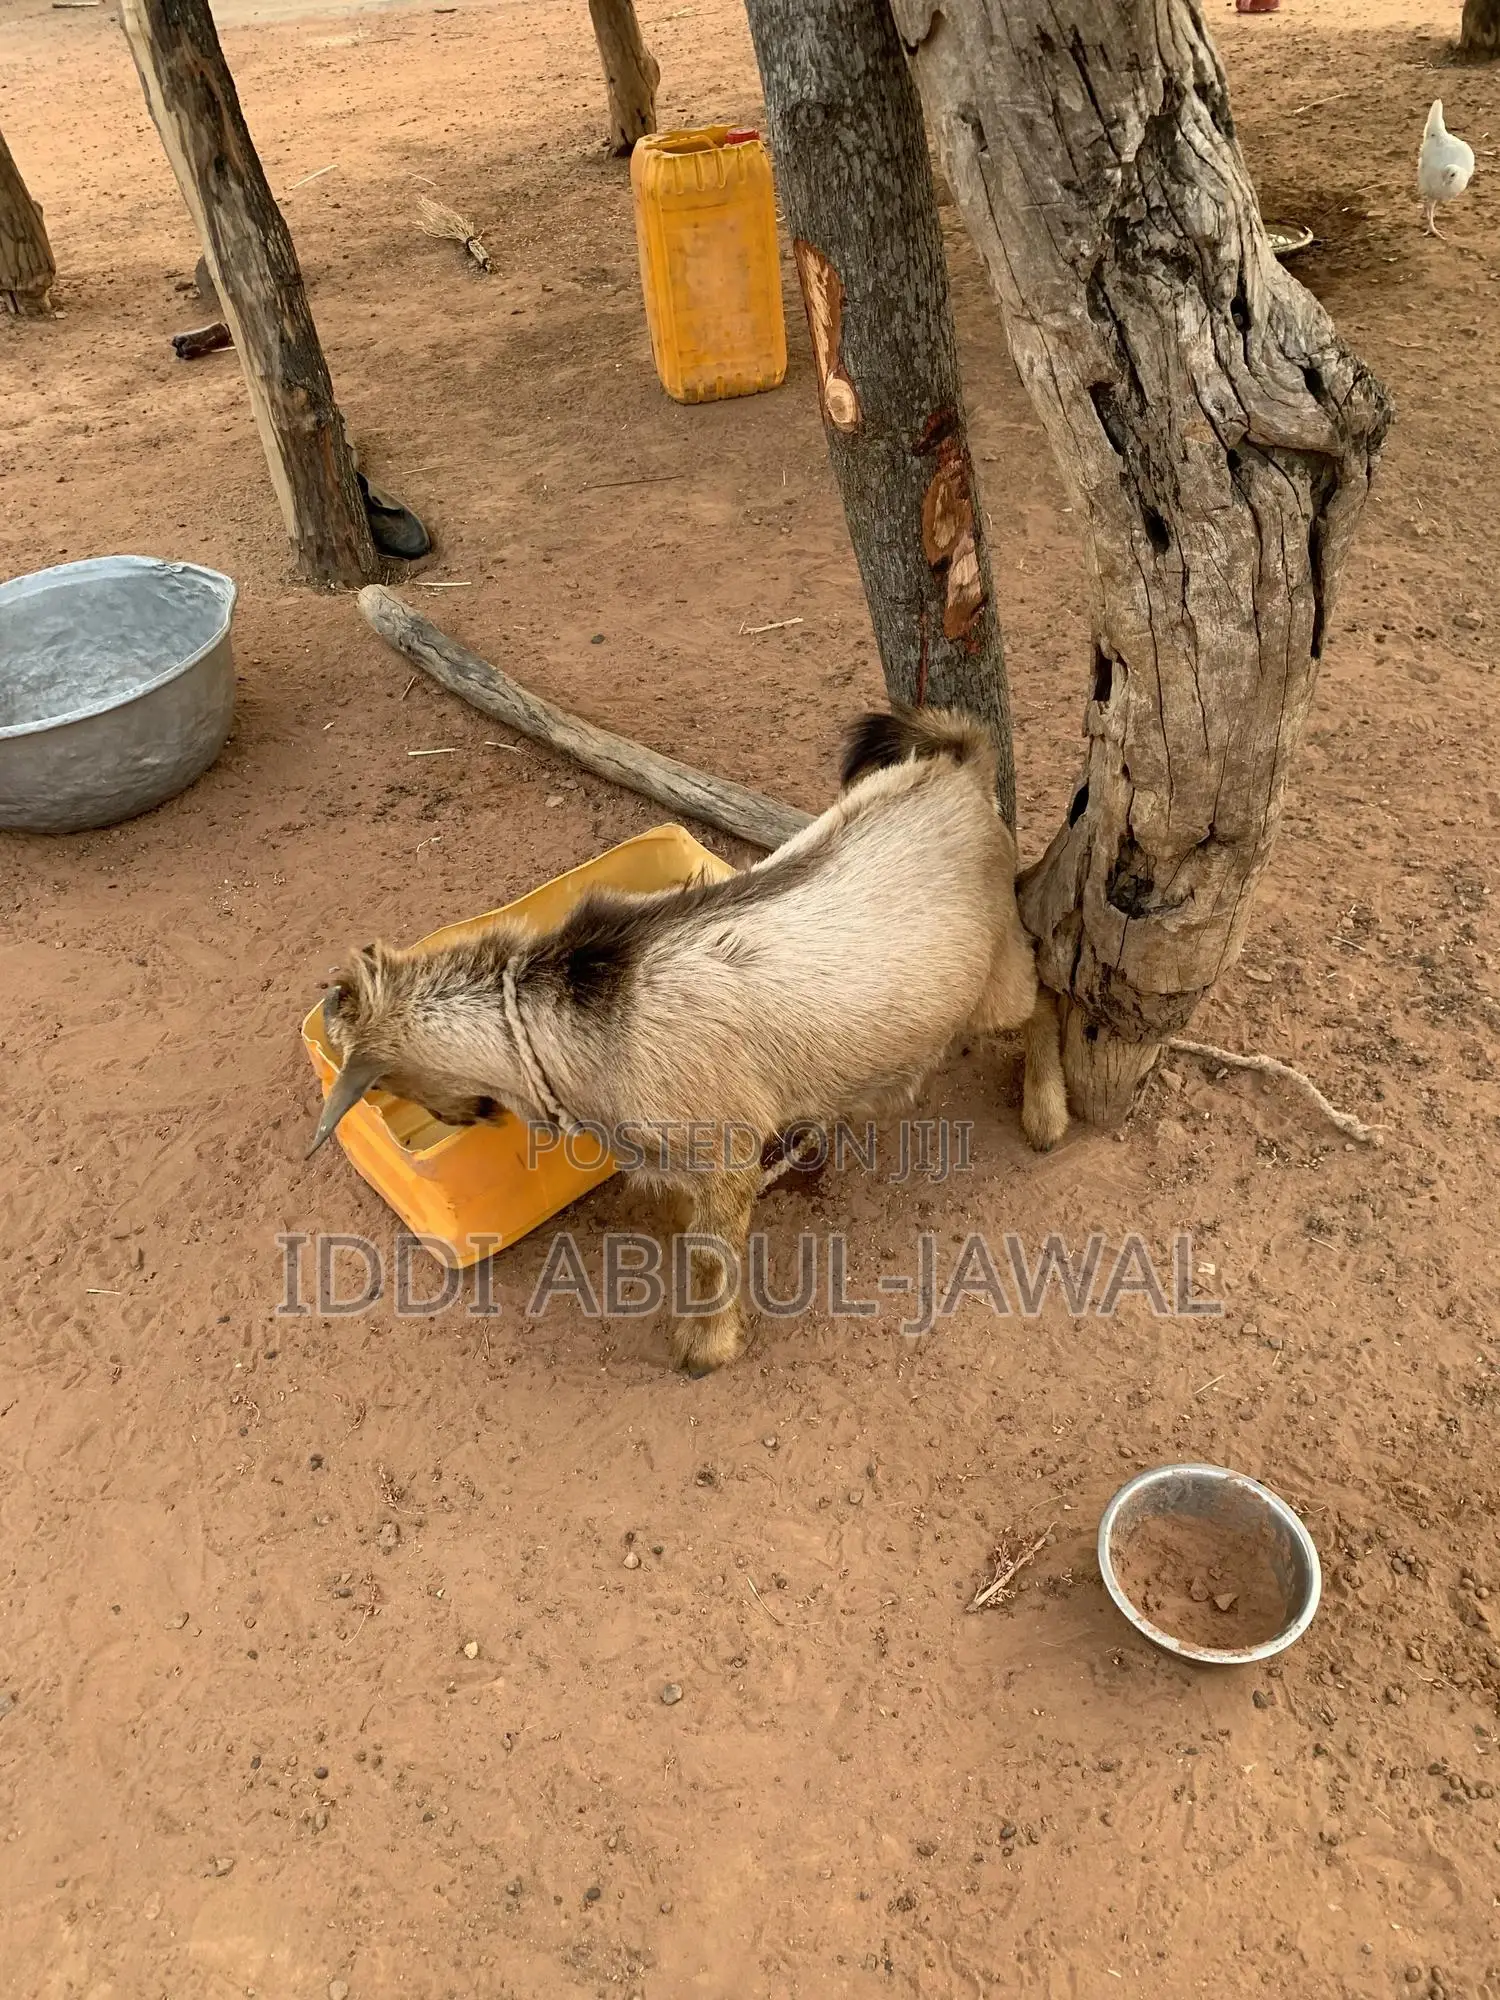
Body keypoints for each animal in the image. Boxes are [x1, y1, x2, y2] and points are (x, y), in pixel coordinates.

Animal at [309, 706, 1070, 1373]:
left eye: (384, 1080)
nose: (462, 1116)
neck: (574, 1014)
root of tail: (962, 767)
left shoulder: (724, 1151)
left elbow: (708, 1254)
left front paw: (704, 1349)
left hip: (994, 975)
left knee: (1048, 995)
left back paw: (1046, 1114)